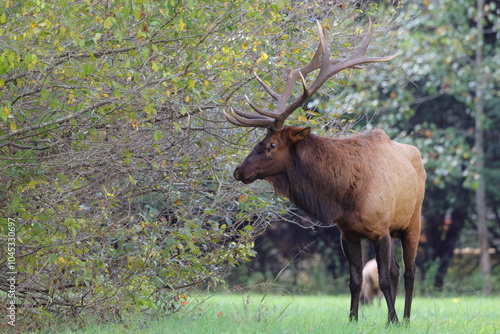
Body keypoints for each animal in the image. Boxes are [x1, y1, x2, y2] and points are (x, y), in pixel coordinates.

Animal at [227, 20, 426, 324]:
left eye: (271, 145)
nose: (239, 171)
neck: (345, 196)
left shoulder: (380, 228)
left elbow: (383, 279)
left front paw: (391, 320)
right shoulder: (348, 232)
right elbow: (355, 280)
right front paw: (353, 319)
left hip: (411, 221)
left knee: (409, 272)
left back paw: (404, 318)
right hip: (394, 229)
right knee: (394, 270)